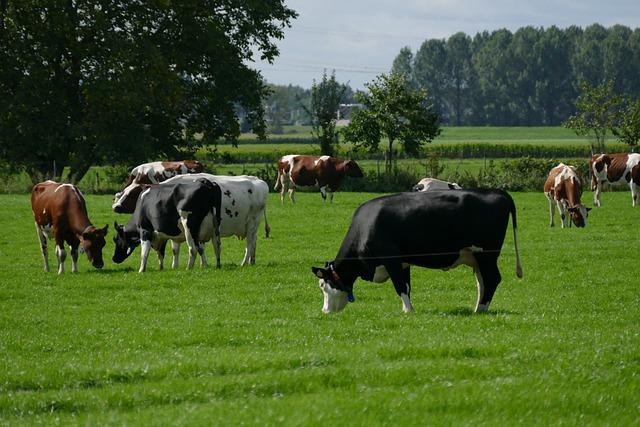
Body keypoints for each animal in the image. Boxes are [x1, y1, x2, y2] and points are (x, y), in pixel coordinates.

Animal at [312, 191, 524, 314]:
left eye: (323, 285)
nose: (324, 311)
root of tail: (497, 192)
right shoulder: (403, 262)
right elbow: (407, 286)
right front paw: (409, 308)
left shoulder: (391, 260)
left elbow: (399, 286)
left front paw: (408, 311)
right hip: (476, 257)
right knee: (482, 282)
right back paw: (478, 307)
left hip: (486, 254)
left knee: (492, 279)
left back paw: (480, 309)